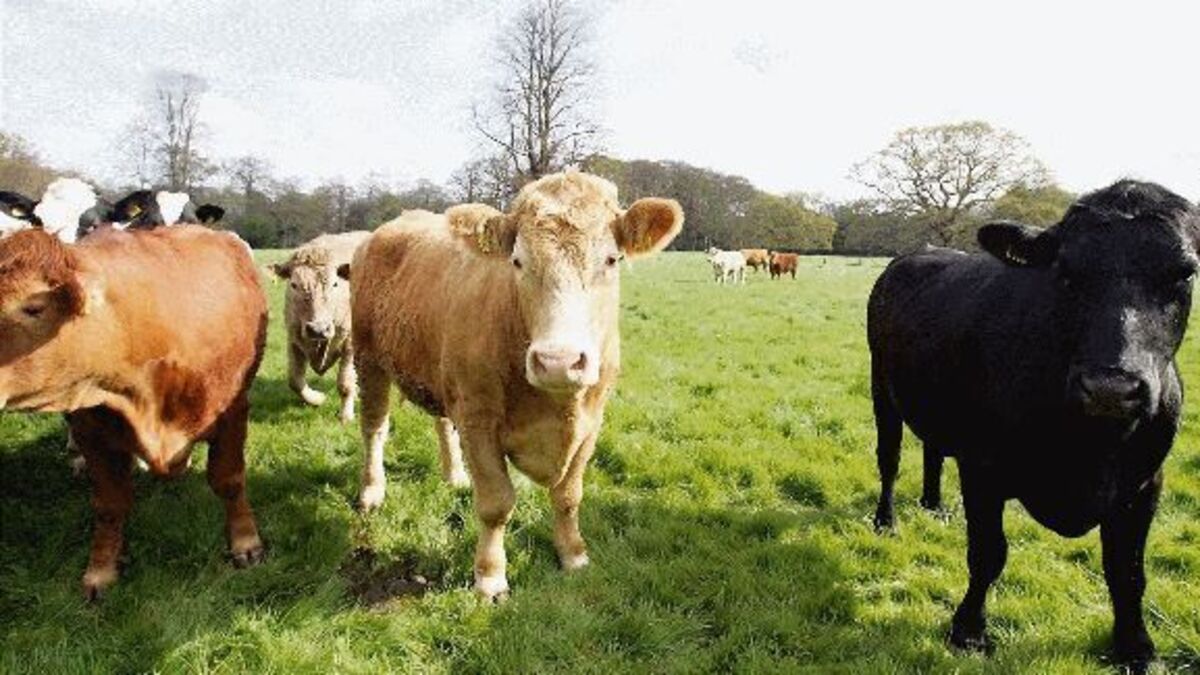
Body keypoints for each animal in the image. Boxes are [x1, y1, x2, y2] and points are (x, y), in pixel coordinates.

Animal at [0, 225, 268, 599]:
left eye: (33, 308)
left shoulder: (233, 410)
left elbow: (228, 480)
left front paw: (245, 542)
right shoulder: (90, 432)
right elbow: (109, 506)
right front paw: (101, 570)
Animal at [270, 230, 372, 423]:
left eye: (335, 284)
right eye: (294, 285)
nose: (318, 329)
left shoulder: (350, 342)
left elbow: (345, 383)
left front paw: (346, 415)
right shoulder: (293, 340)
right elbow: (295, 381)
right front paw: (317, 399)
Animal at [343, 172, 682, 600]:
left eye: (611, 259)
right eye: (518, 261)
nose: (558, 362)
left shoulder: (592, 424)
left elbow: (569, 496)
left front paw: (574, 555)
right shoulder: (478, 420)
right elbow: (496, 504)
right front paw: (490, 577)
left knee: (441, 423)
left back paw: (454, 476)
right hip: (368, 360)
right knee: (374, 427)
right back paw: (372, 491)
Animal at [867, 180, 1198, 672]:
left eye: (1185, 273)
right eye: (1066, 271)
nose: (1111, 387)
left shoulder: (1144, 483)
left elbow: (1128, 572)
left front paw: (1136, 647)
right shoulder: (982, 467)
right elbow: (988, 553)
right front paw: (968, 631)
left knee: (933, 447)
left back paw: (933, 504)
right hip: (882, 389)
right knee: (889, 458)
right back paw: (886, 520)